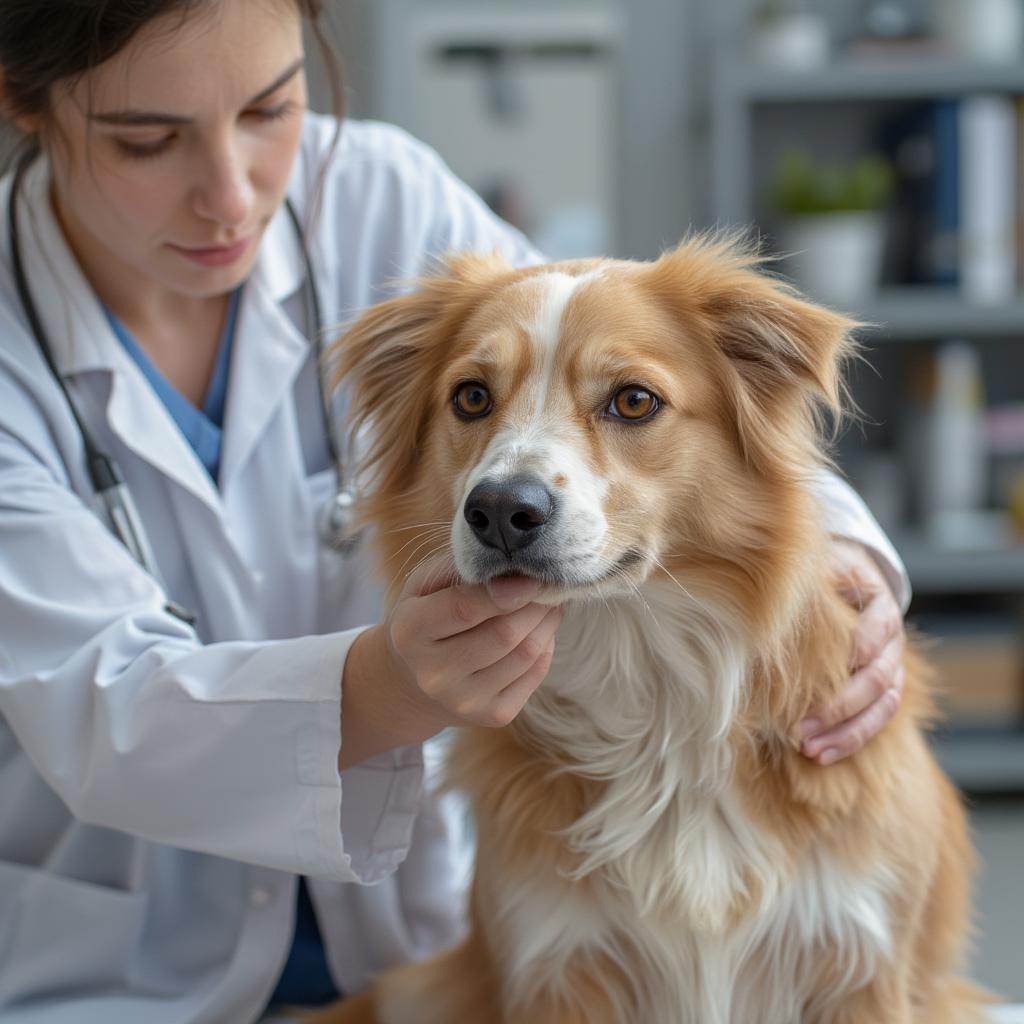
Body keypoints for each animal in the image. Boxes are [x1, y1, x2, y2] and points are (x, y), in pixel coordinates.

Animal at [315, 241, 978, 1024]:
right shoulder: (560, 964)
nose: (501, 510)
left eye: (633, 401)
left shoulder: (862, 964)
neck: (652, 689)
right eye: (471, 397)